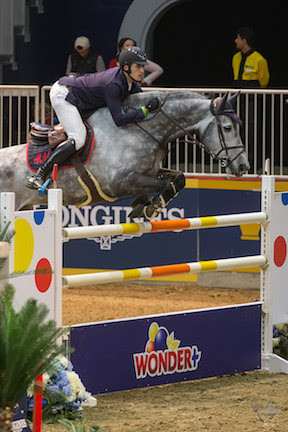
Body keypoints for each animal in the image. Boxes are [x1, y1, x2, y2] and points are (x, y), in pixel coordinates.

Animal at [0, 91, 249, 219]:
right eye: (227, 128)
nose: (244, 167)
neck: (141, 130)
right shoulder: (121, 182)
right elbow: (162, 186)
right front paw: (150, 207)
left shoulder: (151, 172)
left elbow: (178, 179)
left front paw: (144, 205)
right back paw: (36, 180)